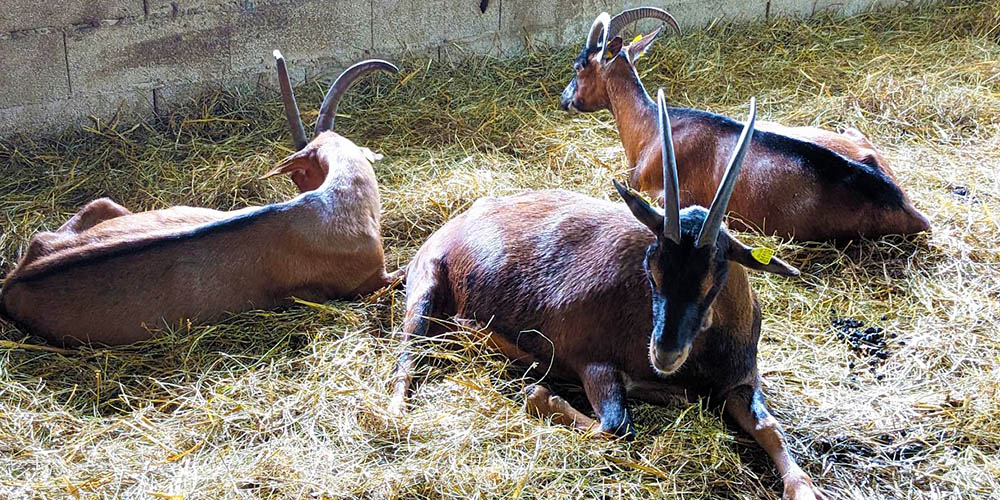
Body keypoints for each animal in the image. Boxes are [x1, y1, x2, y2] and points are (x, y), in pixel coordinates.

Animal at [389, 93, 826, 499]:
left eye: (714, 274)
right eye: (651, 267)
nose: (664, 353)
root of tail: (457, 222)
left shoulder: (740, 382)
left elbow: (768, 426)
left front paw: (804, 487)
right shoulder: (594, 363)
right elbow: (616, 428)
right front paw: (540, 396)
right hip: (424, 293)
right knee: (408, 358)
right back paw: (401, 407)